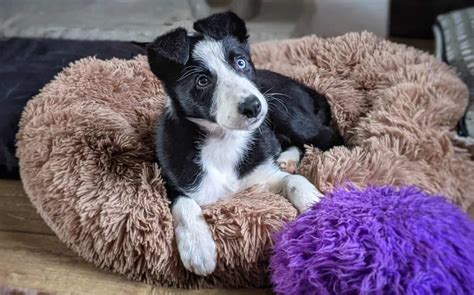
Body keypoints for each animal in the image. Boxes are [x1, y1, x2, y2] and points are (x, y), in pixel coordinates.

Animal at [146, 11, 342, 276]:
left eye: (240, 63)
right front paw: (197, 247)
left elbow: (295, 181)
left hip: (285, 111)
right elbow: (183, 202)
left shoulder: (262, 176)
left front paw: (316, 204)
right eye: (202, 81)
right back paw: (287, 158)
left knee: (331, 138)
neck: (223, 139)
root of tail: (304, 86)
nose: (253, 106)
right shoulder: (170, 178)